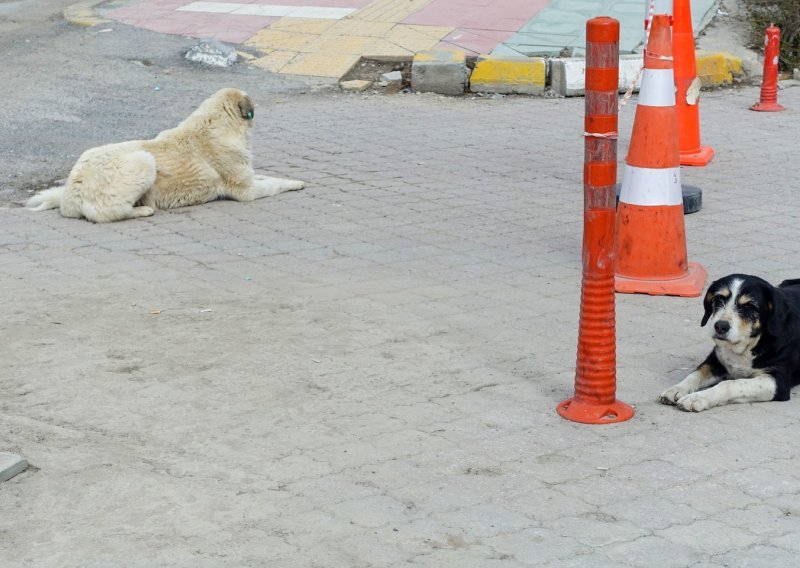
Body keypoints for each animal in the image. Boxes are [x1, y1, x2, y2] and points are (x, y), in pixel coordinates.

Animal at [26, 87, 304, 223]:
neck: (216, 124)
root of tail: (70, 191)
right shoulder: (246, 191)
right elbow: (275, 184)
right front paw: (296, 182)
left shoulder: (249, 178)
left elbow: (266, 177)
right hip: (143, 161)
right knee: (106, 213)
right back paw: (143, 211)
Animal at [660, 272, 800, 410]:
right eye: (719, 299)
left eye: (748, 306)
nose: (720, 326)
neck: (747, 347)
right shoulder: (714, 361)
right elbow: (695, 374)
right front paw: (677, 389)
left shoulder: (777, 381)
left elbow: (729, 384)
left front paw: (697, 398)